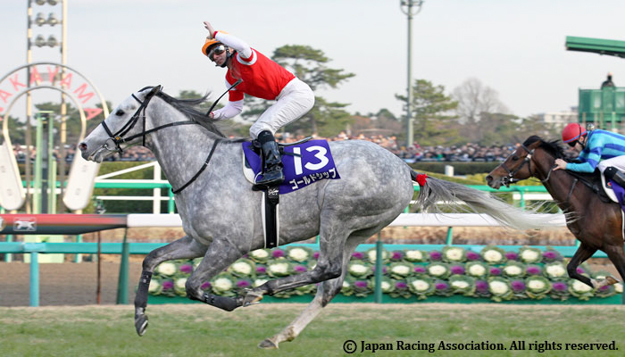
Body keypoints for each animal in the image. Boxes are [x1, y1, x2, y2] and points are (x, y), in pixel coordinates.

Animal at [79, 86, 552, 348]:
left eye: (119, 112)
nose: (84, 146)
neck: (202, 164)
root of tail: (405, 167)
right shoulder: (198, 241)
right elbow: (150, 259)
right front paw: (140, 318)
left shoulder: (228, 245)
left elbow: (194, 286)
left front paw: (238, 299)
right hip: (360, 228)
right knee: (331, 283)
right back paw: (279, 334)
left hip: (337, 213)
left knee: (324, 268)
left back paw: (265, 288)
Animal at [486, 135, 620, 288]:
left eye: (515, 157)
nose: (490, 177)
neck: (589, 199)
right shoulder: (590, 243)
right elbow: (571, 268)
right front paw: (601, 281)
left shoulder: (615, 247)